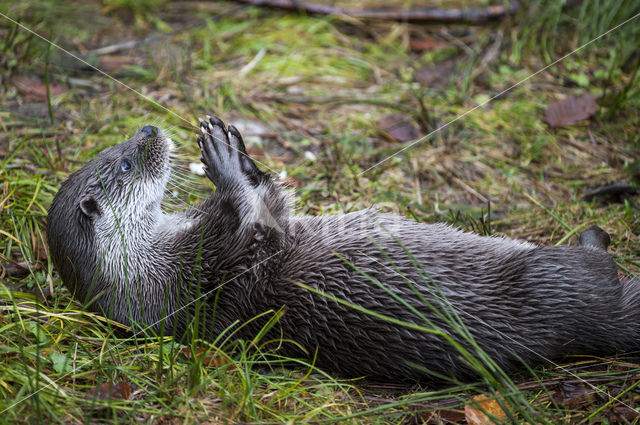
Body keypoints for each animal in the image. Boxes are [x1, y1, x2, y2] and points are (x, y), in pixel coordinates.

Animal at [47, 117, 640, 380]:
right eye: (127, 162)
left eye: (117, 146)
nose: (148, 128)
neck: (161, 271)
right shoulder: (215, 267)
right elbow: (262, 223)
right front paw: (224, 162)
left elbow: (268, 196)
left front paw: (242, 155)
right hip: (553, 275)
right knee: (599, 264)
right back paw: (595, 237)